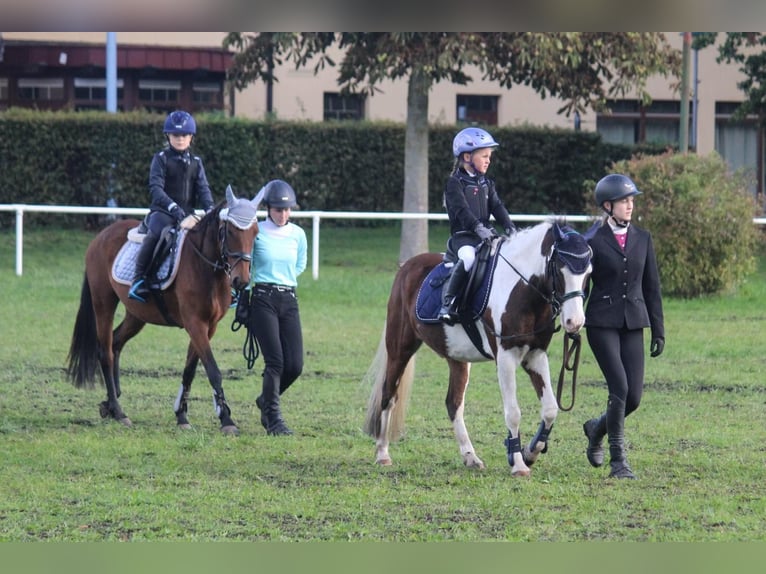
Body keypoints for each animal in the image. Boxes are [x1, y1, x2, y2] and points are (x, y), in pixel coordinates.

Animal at [67, 187, 258, 434]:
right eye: (231, 231)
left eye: (255, 233)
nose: (241, 281)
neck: (205, 268)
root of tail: (101, 236)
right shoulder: (194, 323)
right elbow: (212, 369)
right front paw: (226, 420)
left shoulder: (209, 326)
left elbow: (190, 369)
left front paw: (182, 415)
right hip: (103, 303)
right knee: (105, 352)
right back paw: (119, 412)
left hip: (136, 315)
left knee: (116, 342)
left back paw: (110, 402)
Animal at [364, 220, 592, 476]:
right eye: (560, 270)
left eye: (588, 273)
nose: (575, 322)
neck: (521, 289)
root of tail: (407, 267)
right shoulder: (506, 358)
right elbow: (513, 413)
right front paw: (518, 464)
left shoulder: (535, 356)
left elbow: (551, 408)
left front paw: (530, 452)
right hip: (400, 348)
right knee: (388, 395)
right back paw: (382, 453)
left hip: (457, 358)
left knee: (453, 403)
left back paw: (470, 457)